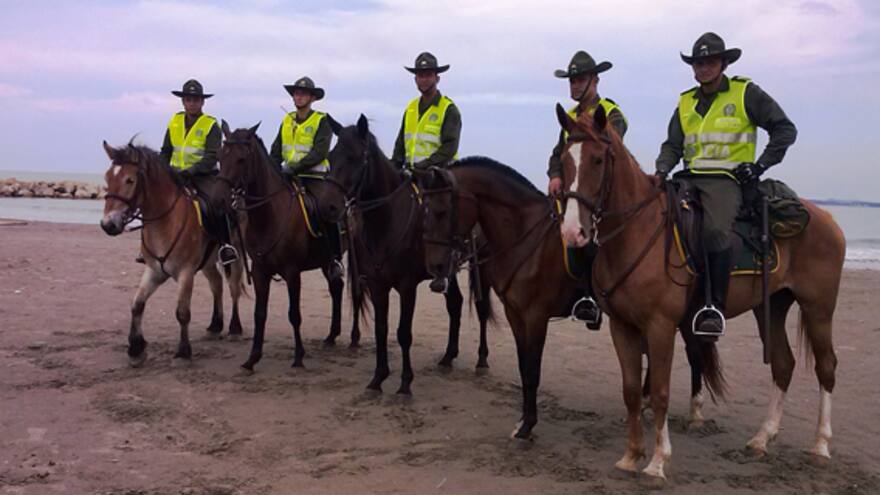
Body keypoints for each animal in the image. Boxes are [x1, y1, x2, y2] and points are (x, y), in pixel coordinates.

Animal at [100, 141, 246, 366]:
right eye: (107, 178)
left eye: (130, 180)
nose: (108, 224)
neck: (165, 222)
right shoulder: (154, 271)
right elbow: (137, 305)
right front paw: (136, 349)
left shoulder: (185, 273)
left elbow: (182, 313)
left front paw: (183, 352)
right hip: (207, 263)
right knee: (216, 285)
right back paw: (215, 326)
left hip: (234, 257)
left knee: (233, 289)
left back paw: (234, 329)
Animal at [213, 122, 359, 370]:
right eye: (221, 157)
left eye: (241, 159)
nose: (219, 200)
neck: (270, 214)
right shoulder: (260, 271)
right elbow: (260, 313)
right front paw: (253, 357)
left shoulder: (292, 272)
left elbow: (294, 314)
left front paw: (299, 356)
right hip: (327, 261)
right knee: (336, 288)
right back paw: (331, 336)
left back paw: (354, 338)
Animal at [312, 115, 493, 395]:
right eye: (331, 157)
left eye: (356, 157)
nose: (326, 207)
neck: (387, 221)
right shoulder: (377, 285)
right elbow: (381, 328)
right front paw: (378, 378)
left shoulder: (408, 286)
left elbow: (403, 333)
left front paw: (405, 383)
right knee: (455, 304)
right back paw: (448, 357)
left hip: (480, 266)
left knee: (482, 308)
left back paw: (481, 359)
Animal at [418, 156, 716, 444]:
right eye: (425, 210)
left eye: (442, 211)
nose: (434, 267)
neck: (524, 234)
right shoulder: (515, 314)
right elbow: (523, 366)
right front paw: (522, 420)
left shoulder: (536, 316)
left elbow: (532, 370)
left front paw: (528, 426)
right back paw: (645, 404)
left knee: (693, 352)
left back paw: (695, 413)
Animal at [557, 104, 844, 479]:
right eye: (564, 160)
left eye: (597, 160)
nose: (573, 232)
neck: (637, 231)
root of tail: (826, 218)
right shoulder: (622, 326)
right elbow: (631, 390)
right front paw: (632, 455)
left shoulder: (660, 327)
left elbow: (660, 391)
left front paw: (657, 462)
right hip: (771, 307)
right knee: (783, 365)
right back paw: (762, 439)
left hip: (818, 307)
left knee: (826, 366)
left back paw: (821, 445)